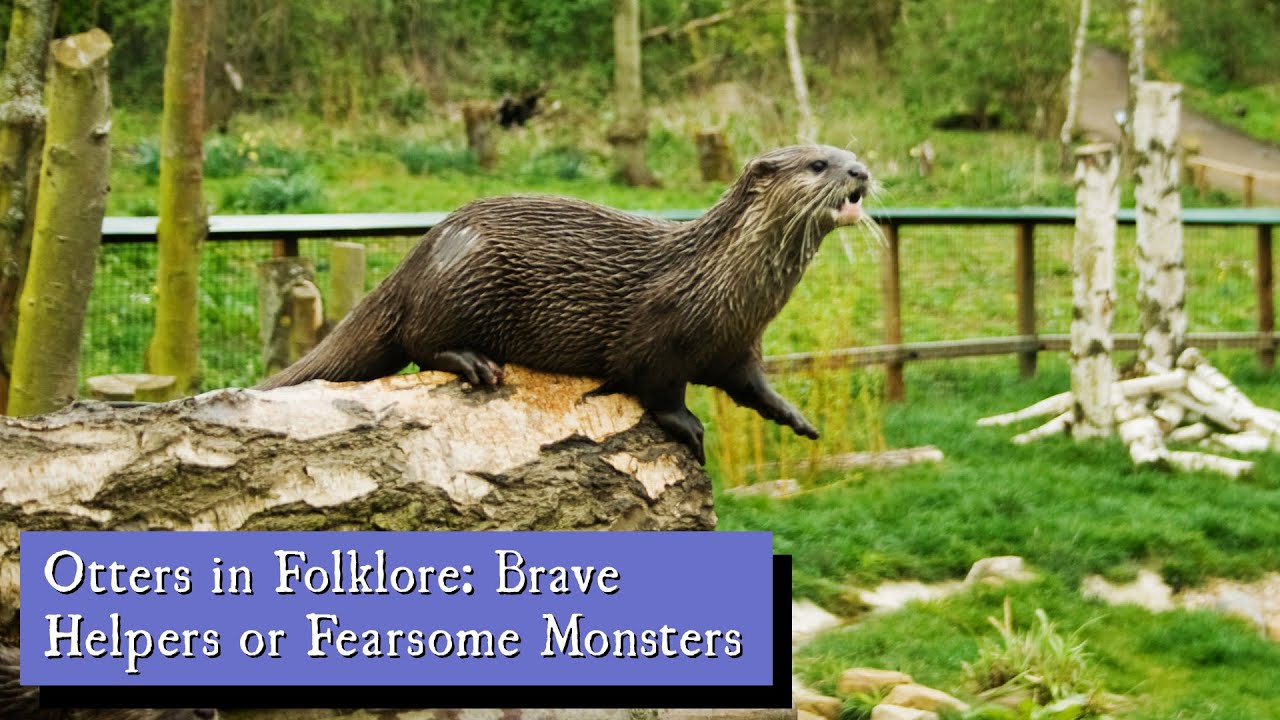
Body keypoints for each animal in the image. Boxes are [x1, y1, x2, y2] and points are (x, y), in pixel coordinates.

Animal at [259, 144, 872, 462]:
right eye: (819, 165)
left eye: (850, 154)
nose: (862, 172)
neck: (722, 281)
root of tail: (421, 250)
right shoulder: (657, 338)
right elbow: (658, 388)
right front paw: (689, 428)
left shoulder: (739, 345)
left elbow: (752, 385)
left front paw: (793, 416)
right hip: (466, 277)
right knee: (418, 340)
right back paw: (476, 364)